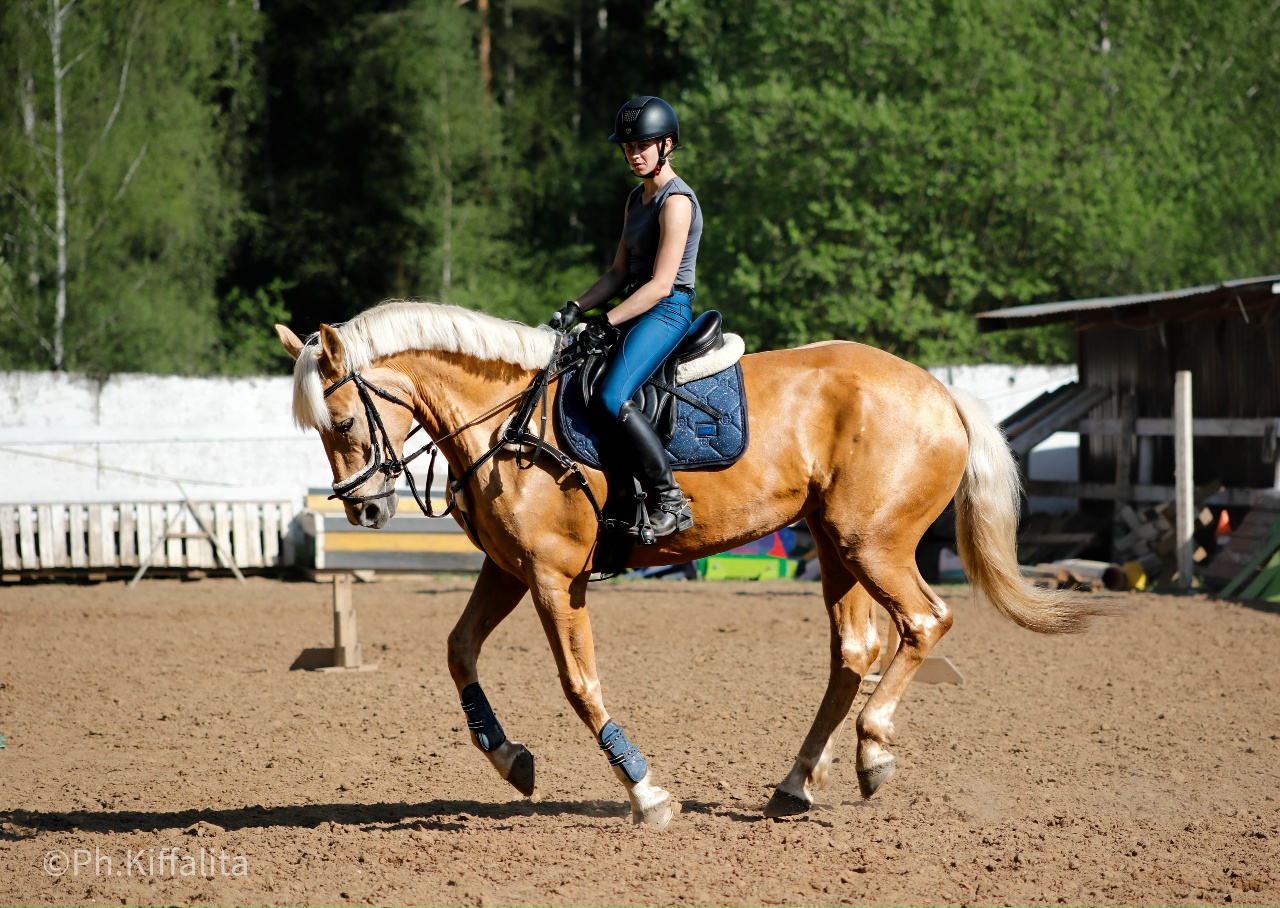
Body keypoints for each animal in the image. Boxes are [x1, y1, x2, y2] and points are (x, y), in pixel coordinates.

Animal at [275, 299, 1104, 828]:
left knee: (925, 622)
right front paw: (509, 758)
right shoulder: (510, 570)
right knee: (856, 650)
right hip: (837, 544)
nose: (364, 512)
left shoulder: (553, 577)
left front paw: (645, 794)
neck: (510, 416)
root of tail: (938, 389)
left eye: (341, 420)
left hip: (871, 543)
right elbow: (459, 652)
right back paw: (796, 784)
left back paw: (873, 751)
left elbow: (579, 684)